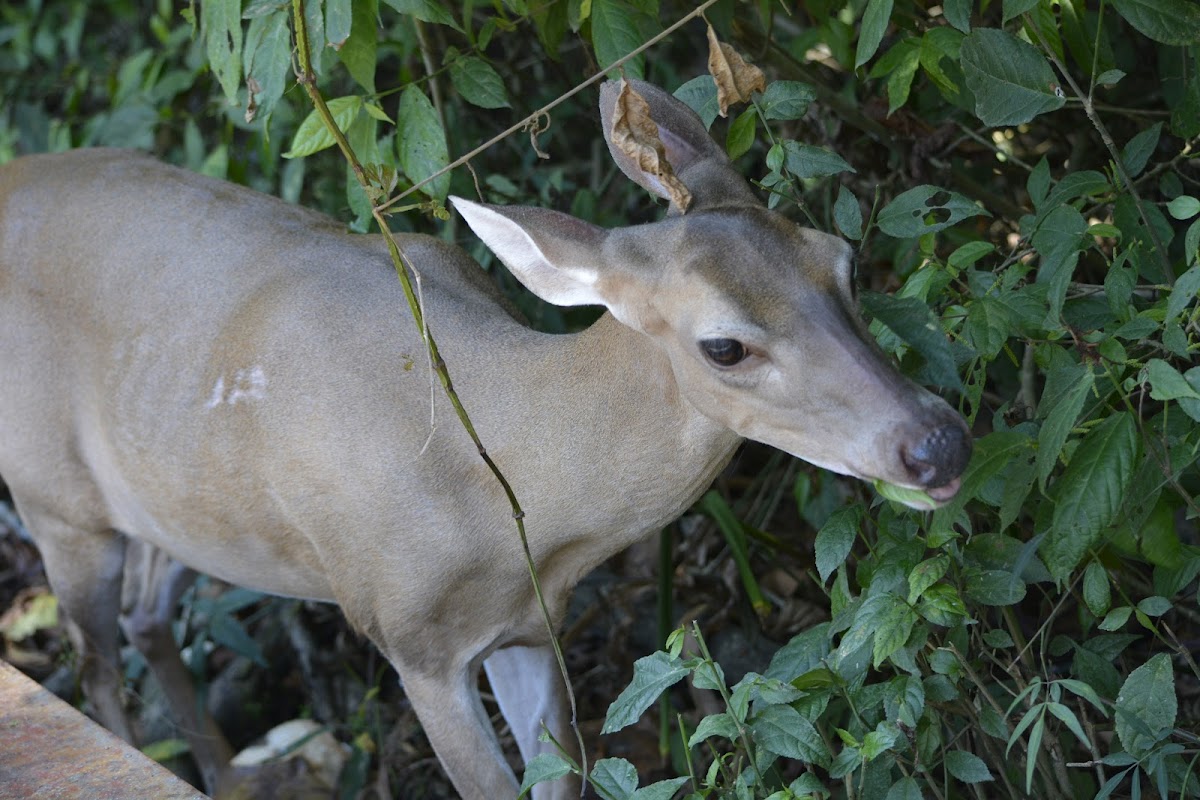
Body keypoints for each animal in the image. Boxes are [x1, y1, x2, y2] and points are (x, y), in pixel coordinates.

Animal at [0, 82, 974, 800]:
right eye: (724, 345)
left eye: (842, 258)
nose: (937, 444)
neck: (509, 491)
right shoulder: (411, 638)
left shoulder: (529, 624)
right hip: (54, 501)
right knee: (96, 667)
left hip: (184, 508)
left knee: (146, 616)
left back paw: (228, 776)